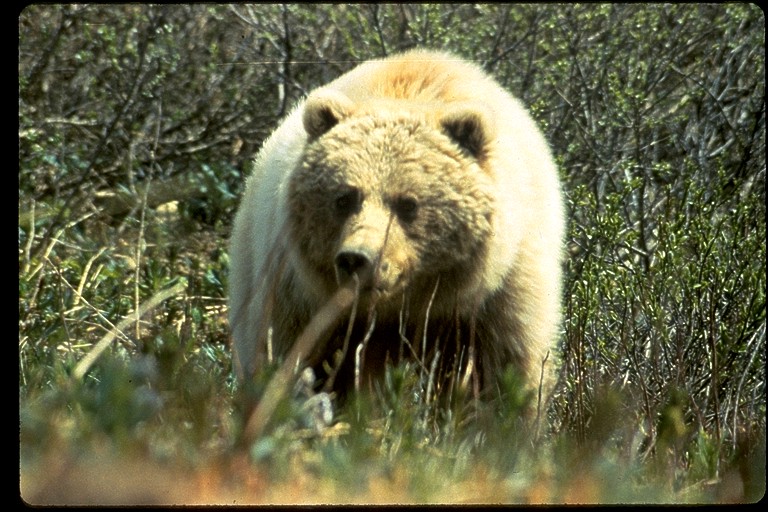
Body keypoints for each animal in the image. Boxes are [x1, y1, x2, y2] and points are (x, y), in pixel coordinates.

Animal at [228, 49, 564, 410]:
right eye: (344, 197)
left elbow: (501, 374)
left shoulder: (498, 296)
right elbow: (299, 362)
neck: (404, 306)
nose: (356, 259)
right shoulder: (304, 299)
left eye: (408, 203)